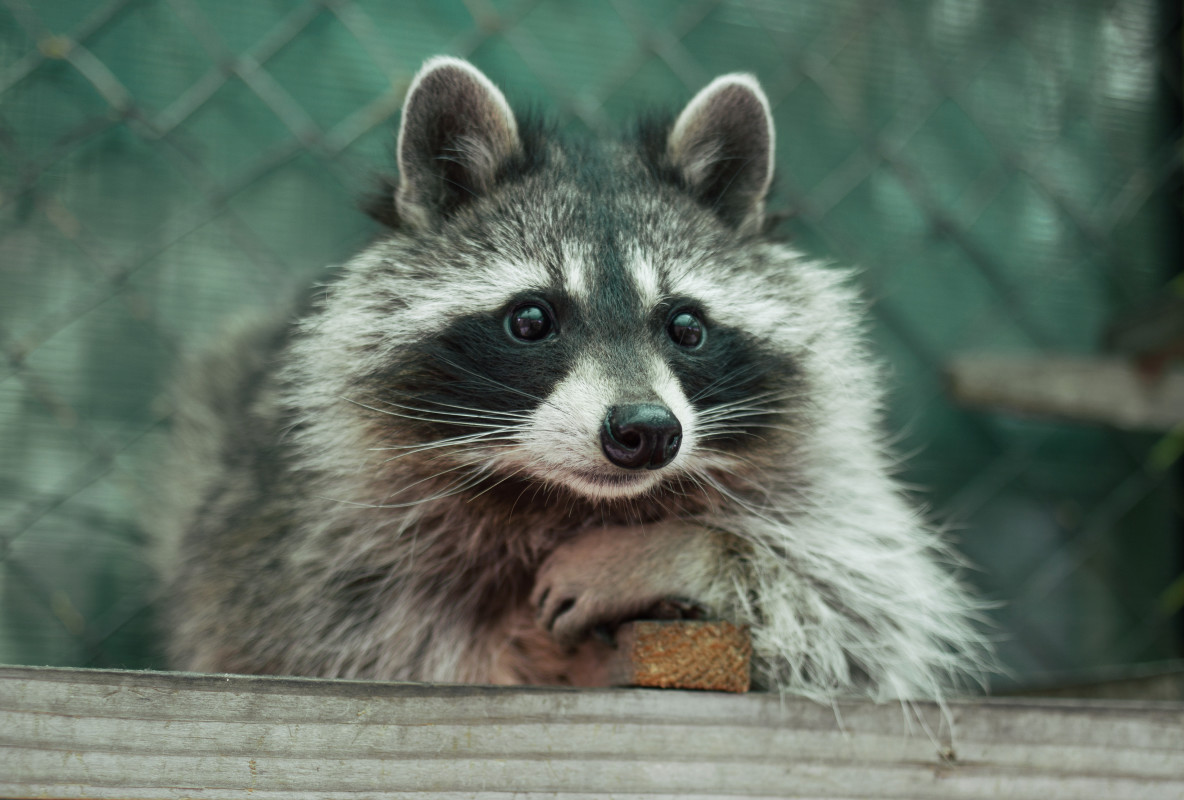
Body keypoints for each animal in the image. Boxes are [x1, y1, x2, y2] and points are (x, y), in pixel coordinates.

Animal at [158, 56, 989, 702]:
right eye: (531, 319)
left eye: (686, 327)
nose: (646, 432)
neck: (567, 498)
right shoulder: (314, 548)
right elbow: (381, 644)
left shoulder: (820, 486)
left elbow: (861, 604)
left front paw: (679, 549)